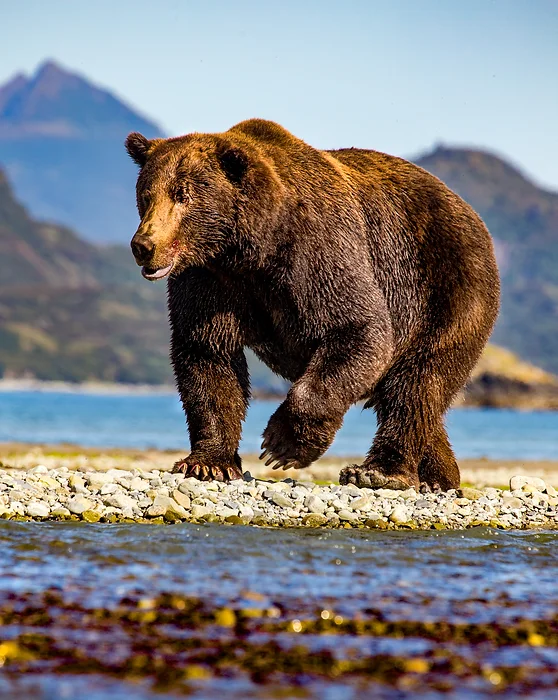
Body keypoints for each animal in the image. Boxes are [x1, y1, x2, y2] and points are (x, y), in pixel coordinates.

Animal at [125, 119, 500, 491]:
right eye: (146, 195)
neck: (250, 250)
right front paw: (208, 463)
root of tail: (471, 214)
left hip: (447, 287)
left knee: (419, 379)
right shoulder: (210, 279)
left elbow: (358, 329)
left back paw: (380, 471)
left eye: (183, 194)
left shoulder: (316, 250)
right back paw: (438, 475)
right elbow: (208, 354)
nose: (144, 245)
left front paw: (281, 445)